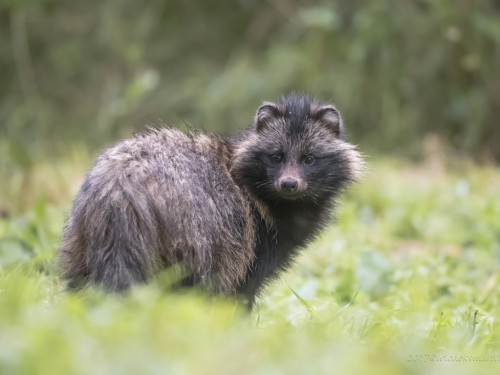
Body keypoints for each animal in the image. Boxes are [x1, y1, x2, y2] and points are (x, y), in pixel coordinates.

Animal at [58, 94, 362, 308]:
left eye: (309, 158)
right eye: (276, 156)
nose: (289, 184)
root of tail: (120, 189)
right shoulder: (252, 244)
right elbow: (240, 293)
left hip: (83, 234)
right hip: (189, 235)